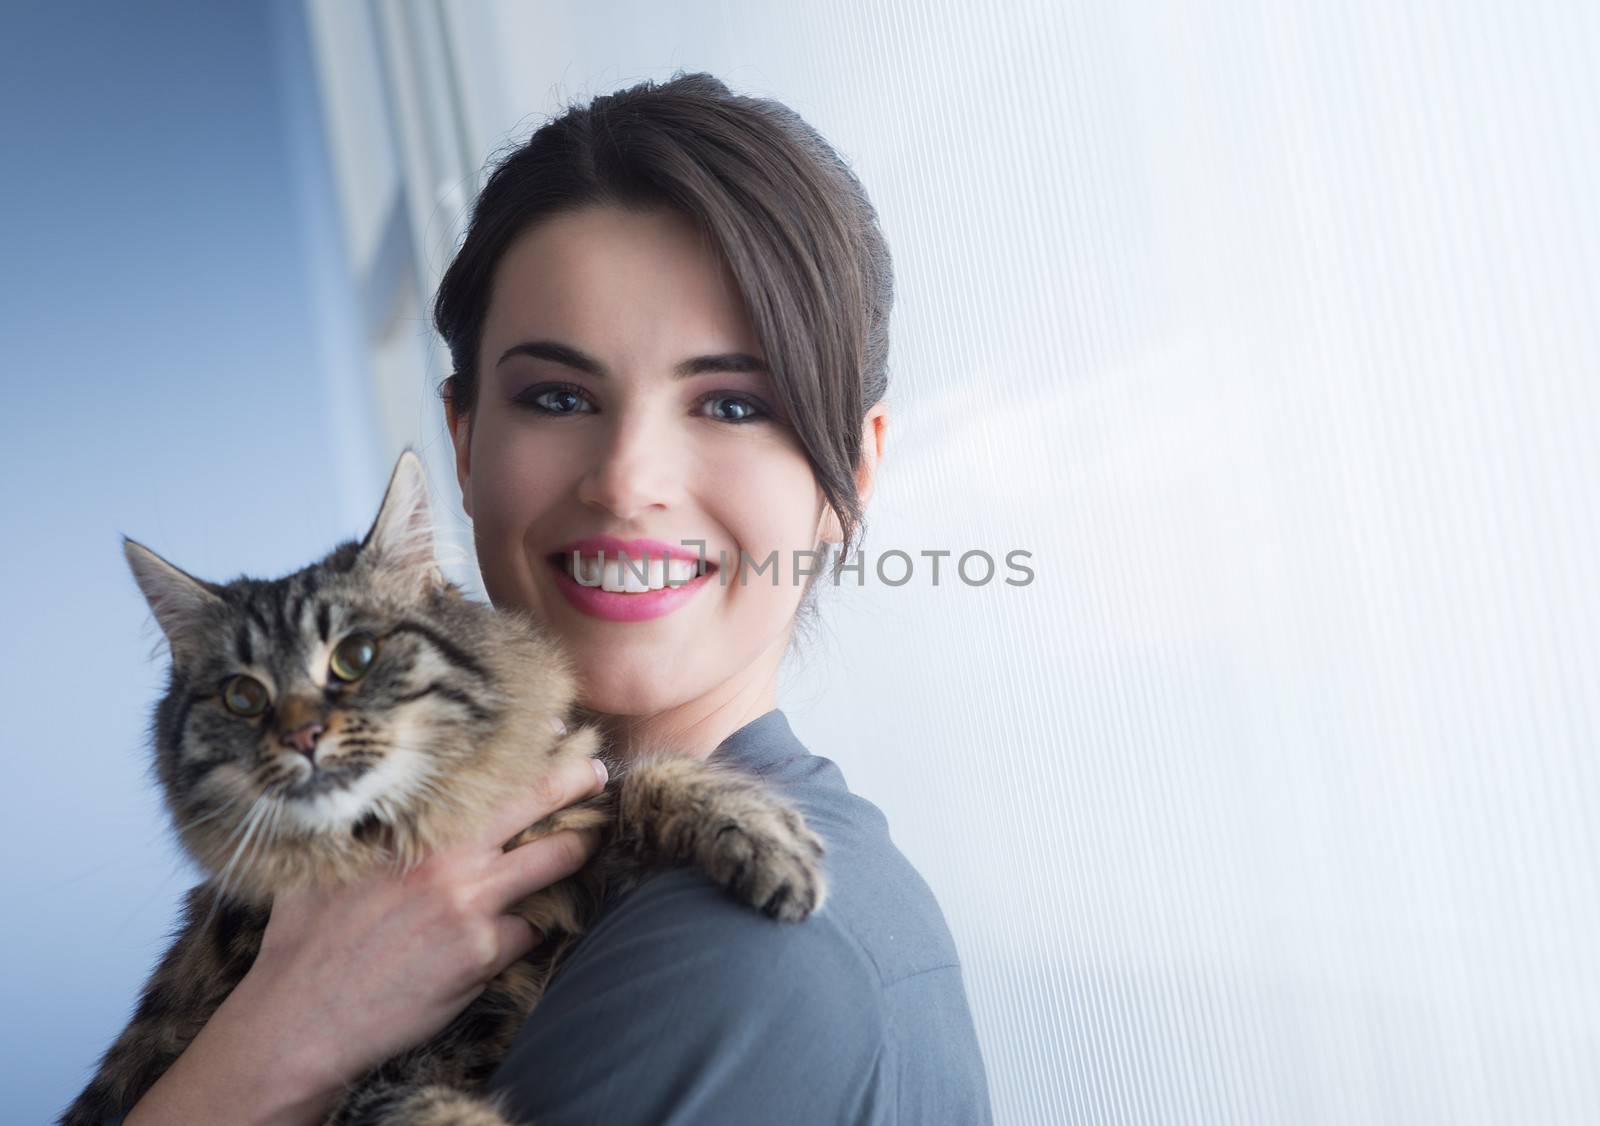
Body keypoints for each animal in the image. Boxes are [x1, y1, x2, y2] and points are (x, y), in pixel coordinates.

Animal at [60, 451, 825, 1126]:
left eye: (355, 657)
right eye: (244, 698)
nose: (302, 736)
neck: (412, 829)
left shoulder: (569, 835)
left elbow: (644, 780)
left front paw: (763, 840)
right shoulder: (373, 1079)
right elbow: (428, 1111)